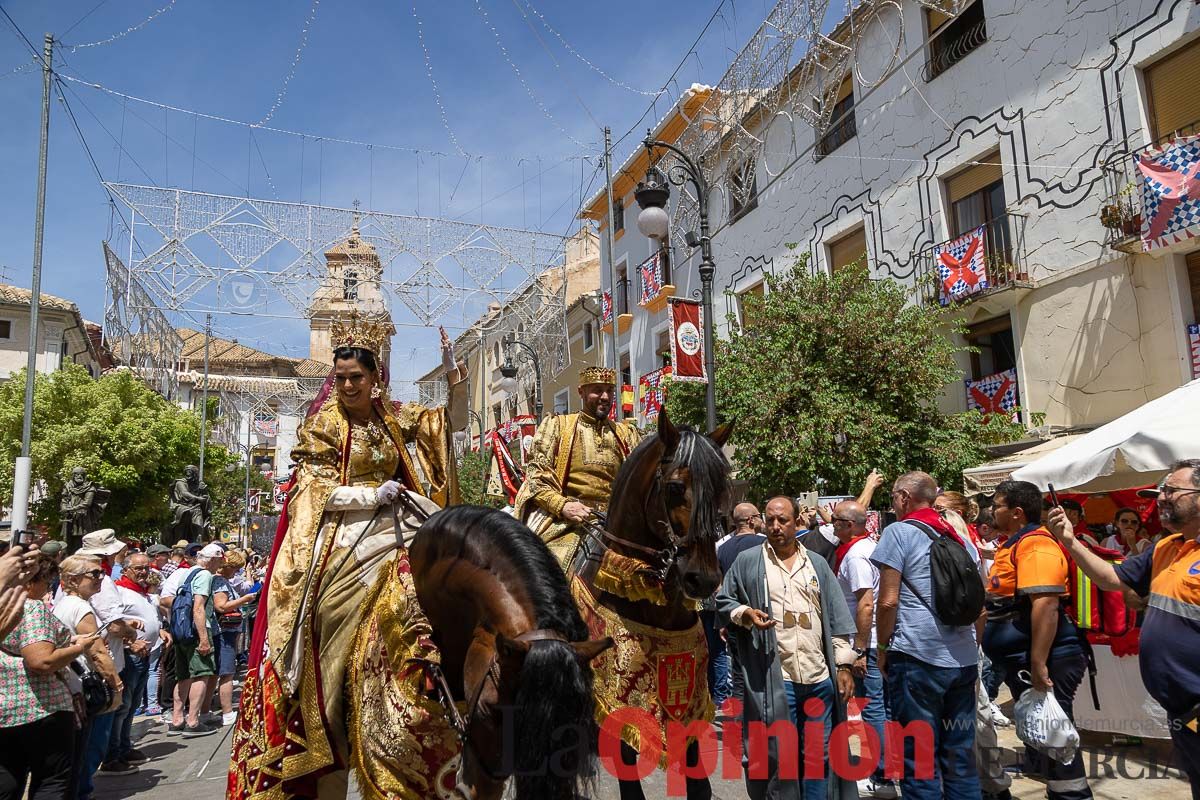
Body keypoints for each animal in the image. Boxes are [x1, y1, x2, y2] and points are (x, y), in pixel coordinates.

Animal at [571, 412, 729, 800]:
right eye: (674, 488)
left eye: (722, 487)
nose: (703, 579)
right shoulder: (618, 703)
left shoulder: (688, 702)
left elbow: (699, 782)